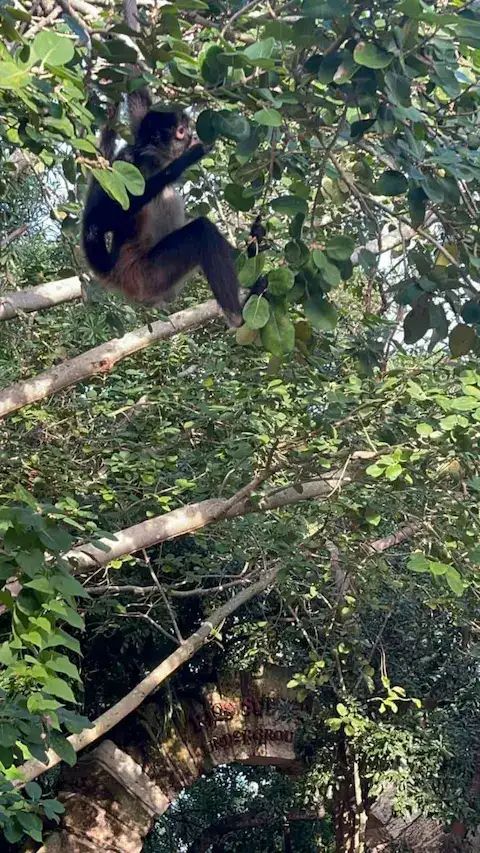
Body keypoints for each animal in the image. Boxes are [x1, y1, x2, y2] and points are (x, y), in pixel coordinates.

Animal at [81, 87, 243, 328]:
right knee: (202, 230)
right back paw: (237, 318)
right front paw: (189, 157)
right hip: (147, 276)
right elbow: (99, 220)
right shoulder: (130, 161)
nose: (193, 135)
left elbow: (139, 100)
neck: (154, 161)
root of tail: (116, 273)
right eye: (181, 131)